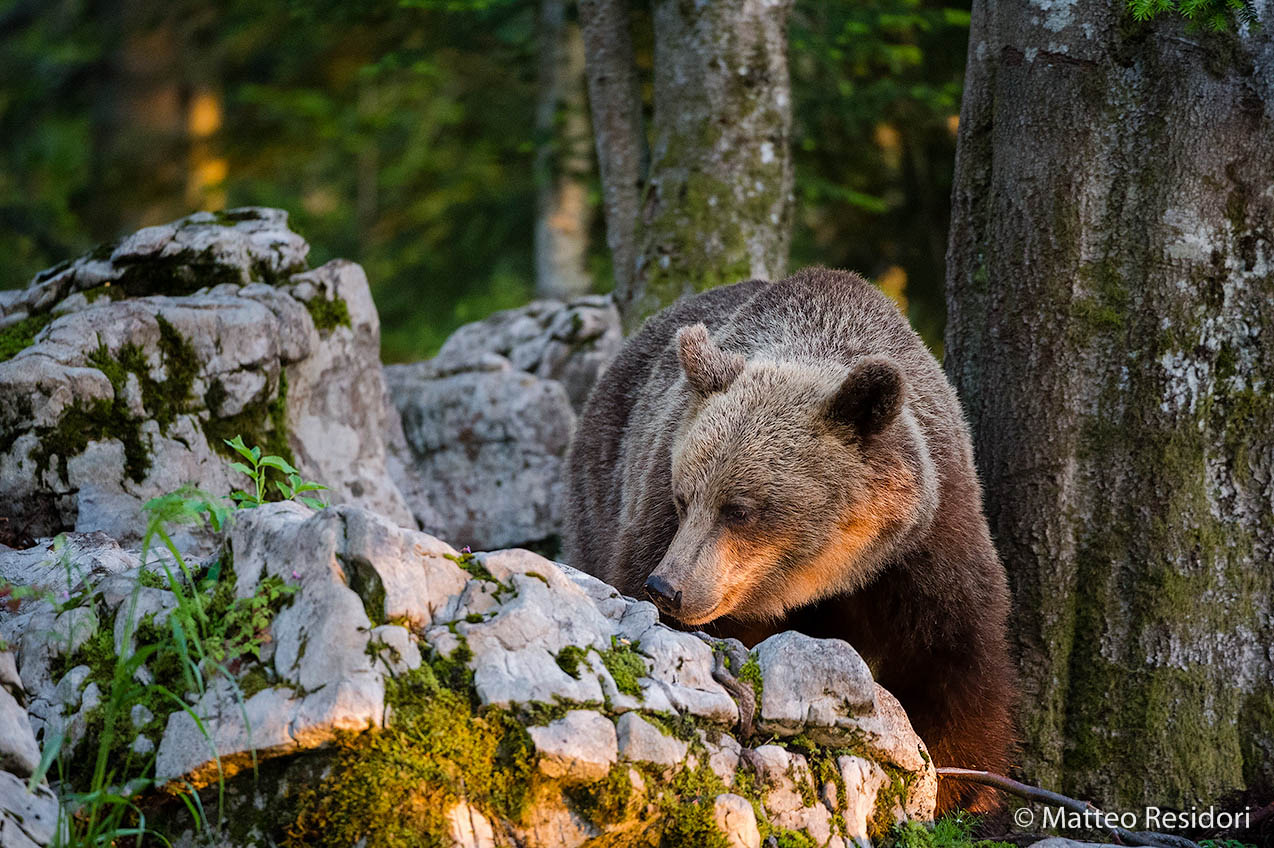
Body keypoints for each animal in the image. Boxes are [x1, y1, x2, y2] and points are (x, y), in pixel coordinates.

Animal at [564, 268, 1014, 812]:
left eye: (739, 509)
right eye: (683, 497)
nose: (667, 588)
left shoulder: (928, 543)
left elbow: (954, 661)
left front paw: (962, 790)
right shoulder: (655, 518)